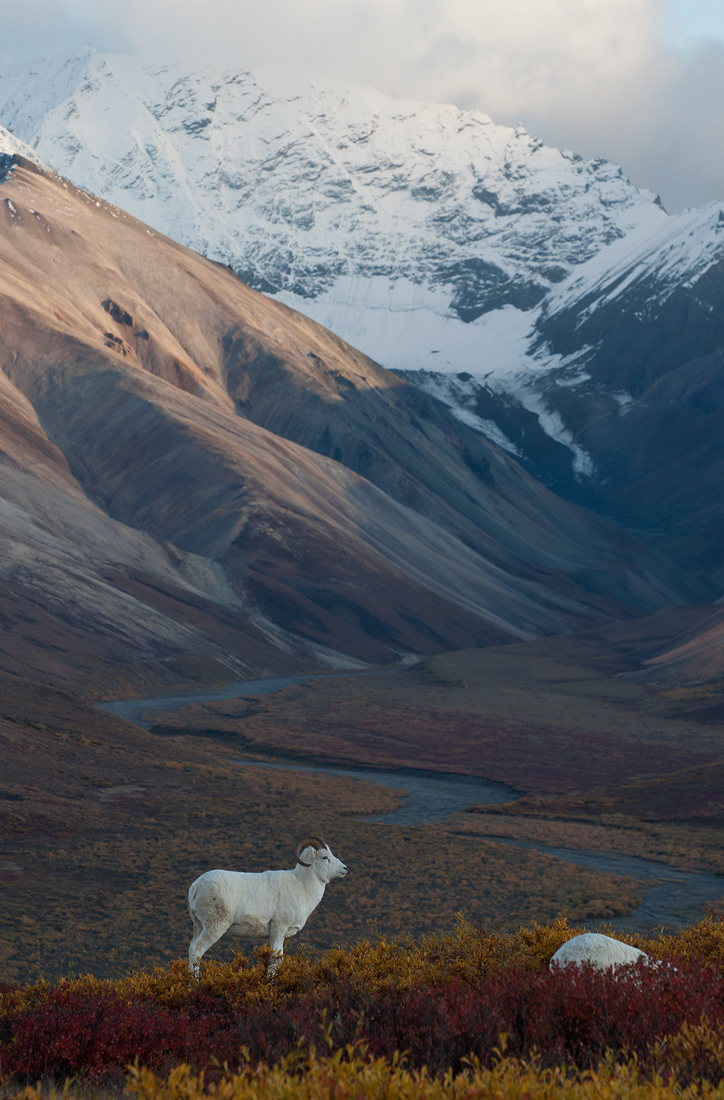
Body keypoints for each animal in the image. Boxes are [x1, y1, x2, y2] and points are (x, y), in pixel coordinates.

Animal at [188, 835, 347, 975]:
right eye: (325, 857)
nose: (344, 869)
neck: (302, 885)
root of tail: (196, 886)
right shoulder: (279, 928)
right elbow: (276, 962)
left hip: (199, 926)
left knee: (191, 949)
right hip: (215, 927)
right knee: (197, 951)